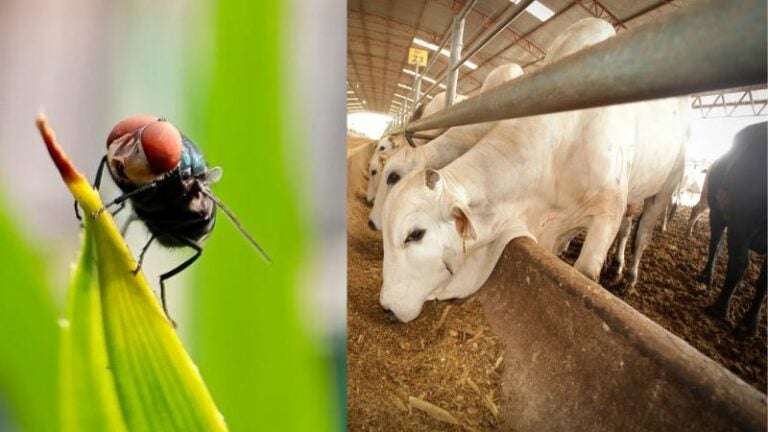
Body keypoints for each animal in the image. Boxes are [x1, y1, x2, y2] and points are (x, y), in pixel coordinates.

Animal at [704, 120, 768, 336]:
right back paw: (707, 276)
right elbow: (738, 263)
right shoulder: (740, 224)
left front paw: (750, 323)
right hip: (717, 214)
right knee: (715, 245)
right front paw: (720, 307)